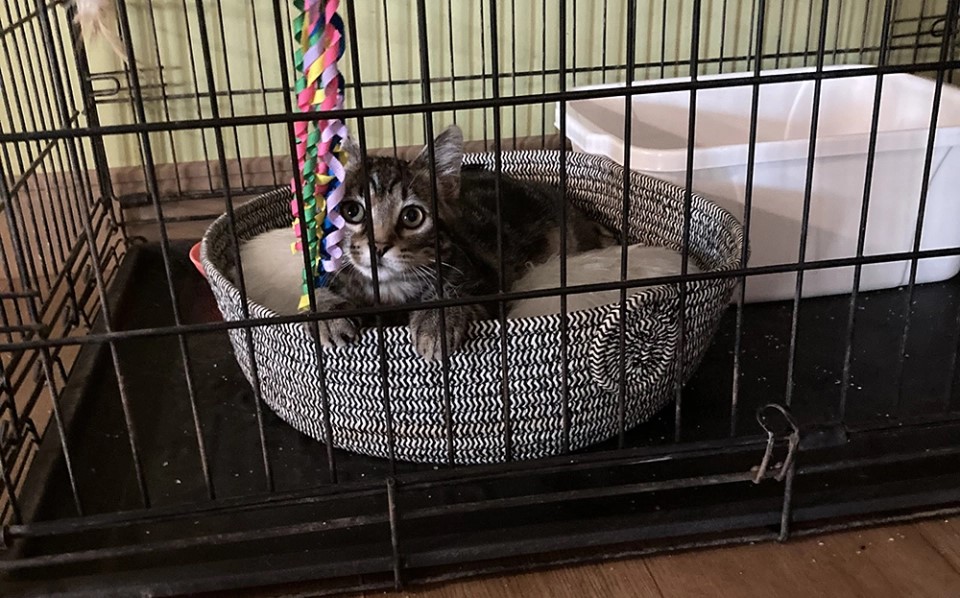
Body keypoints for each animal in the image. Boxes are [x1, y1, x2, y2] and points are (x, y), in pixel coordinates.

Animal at [318, 126, 612, 360]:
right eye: (352, 211)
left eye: (412, 216)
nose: (378, 246)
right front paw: (328, 310)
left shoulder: (486, 284)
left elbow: (456, 292)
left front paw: (437, 319)